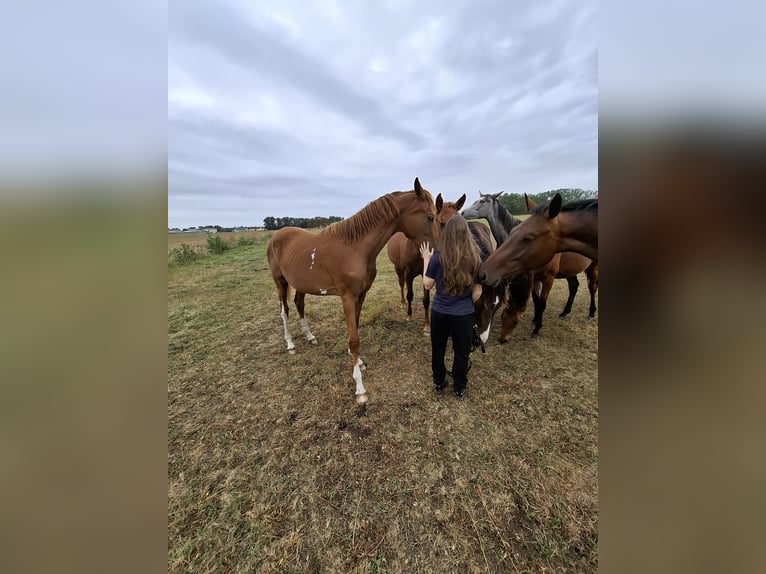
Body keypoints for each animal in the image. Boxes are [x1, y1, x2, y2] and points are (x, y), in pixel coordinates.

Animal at [268, 178, 438, 408]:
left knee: (298, 304)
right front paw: (360, 388)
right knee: (284, 311)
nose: (438, 253)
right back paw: (290, 344)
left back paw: (310, 337)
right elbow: (354, 338)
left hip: (300, 284)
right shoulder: (347, 297)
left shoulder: (361, 294)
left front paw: (359, 361)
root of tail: (276, 236)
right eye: (429, 217)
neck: (355, 249)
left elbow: (355, 329)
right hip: (280, 282)